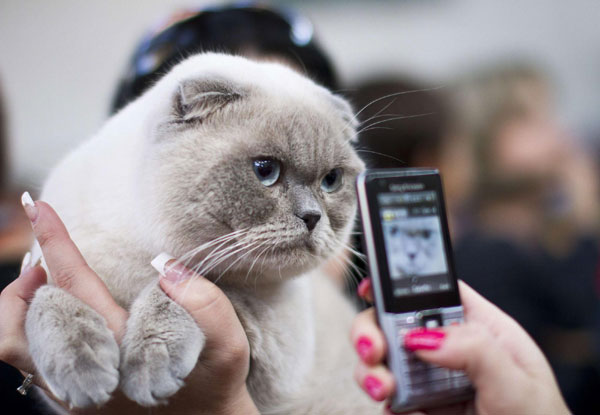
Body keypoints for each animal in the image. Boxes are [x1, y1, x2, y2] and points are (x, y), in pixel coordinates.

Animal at [25, 53, 382, 414]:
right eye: (265, 171)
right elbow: (46, 298)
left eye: (331, 180)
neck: (143, 258)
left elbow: (180, 292)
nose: (312, 216)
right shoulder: (45, 270)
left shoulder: (271, 337)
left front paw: (149, 369)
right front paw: (85, 373)